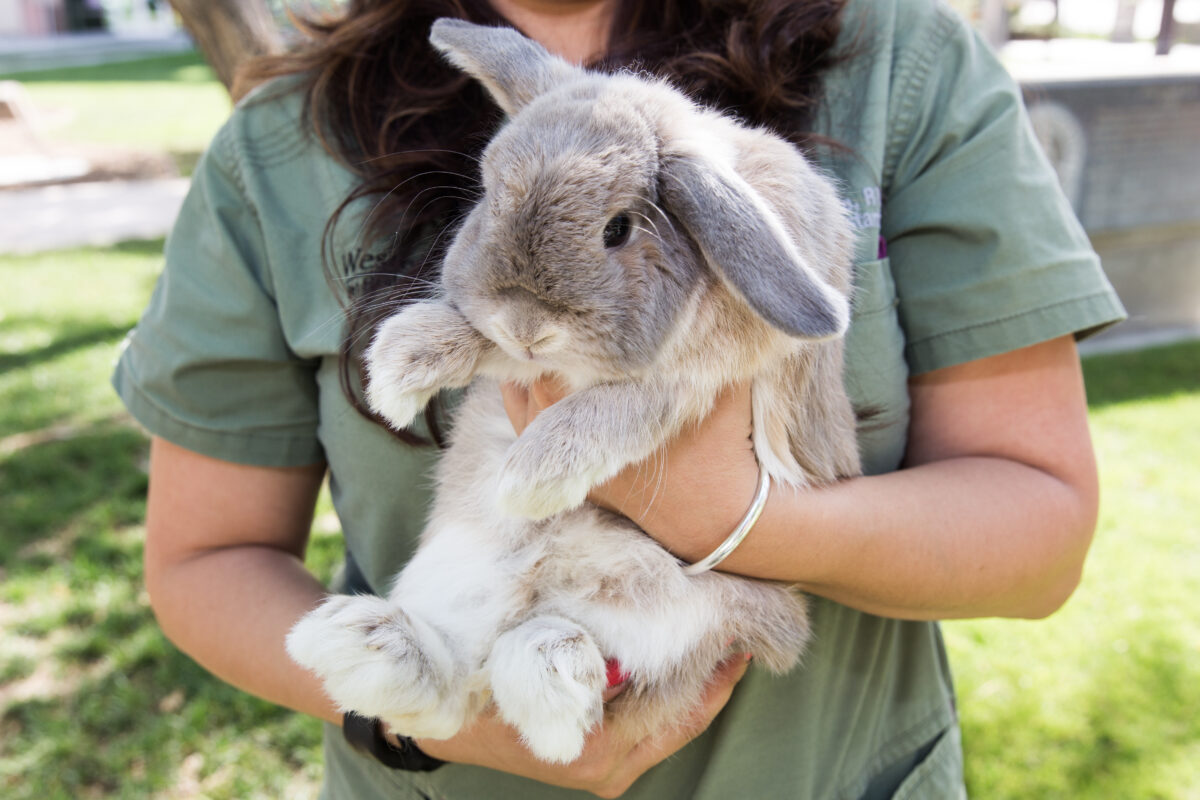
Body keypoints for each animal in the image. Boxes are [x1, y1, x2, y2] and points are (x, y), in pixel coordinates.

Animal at [289, 15, 864, 762]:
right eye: (488, 194)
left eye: (618, 229)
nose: (529, 324)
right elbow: (480, 337)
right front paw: (400, 365)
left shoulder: (698, 378)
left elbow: (626, 403)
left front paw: (528, 476)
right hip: (460, 572)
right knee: (454, 692)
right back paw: (359, 642)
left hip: (702, 614)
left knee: (537, 665)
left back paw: (548, 686)